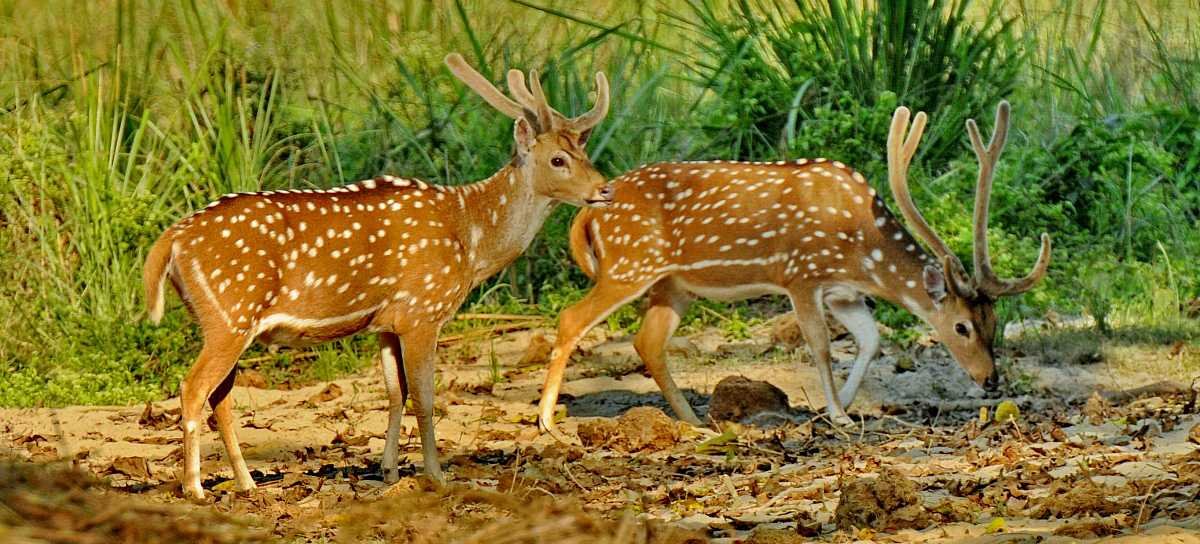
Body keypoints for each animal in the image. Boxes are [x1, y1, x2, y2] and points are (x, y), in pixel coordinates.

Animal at [145, 53, 614, 497]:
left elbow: (395, 392)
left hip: (226, 322)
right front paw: (436, 476)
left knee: (220, 396)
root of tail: (170, 239)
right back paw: (194, 487)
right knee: (193, 388)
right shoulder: (424, 310)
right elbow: (425, 398)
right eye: (558, 159)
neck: (471, 237)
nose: (605, 188)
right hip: (229, 313)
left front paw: (389, 471)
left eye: (584, 152)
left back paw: (245, 483)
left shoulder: (388, 323)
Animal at [535, 100, 1051, 432]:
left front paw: (841, 406)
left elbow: (871, 341)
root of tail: (585, 212)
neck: (861, 250)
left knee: (648, 341)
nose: (990, 380)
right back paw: (545, 420)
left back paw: (695, 421)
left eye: (994, 322)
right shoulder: (801, 274)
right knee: (572, 318)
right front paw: (838, 413)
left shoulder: (844, 292)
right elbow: (820, 345)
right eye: (962, 326)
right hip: (629, 264)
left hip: (673, 284)